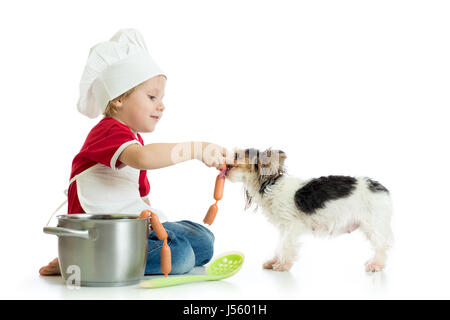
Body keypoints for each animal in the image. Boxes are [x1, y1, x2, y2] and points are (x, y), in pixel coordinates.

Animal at [225, 148, 394, 272]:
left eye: (237, 155)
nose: (224, 158)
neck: (269, 186)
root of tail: (381, 188)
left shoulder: (290, 226)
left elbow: (286, 245)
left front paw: (283, 265)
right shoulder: (282, 228)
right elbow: (279, 245)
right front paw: (274, 261)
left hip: (374, 224)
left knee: (381, 246)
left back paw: (376, 265)